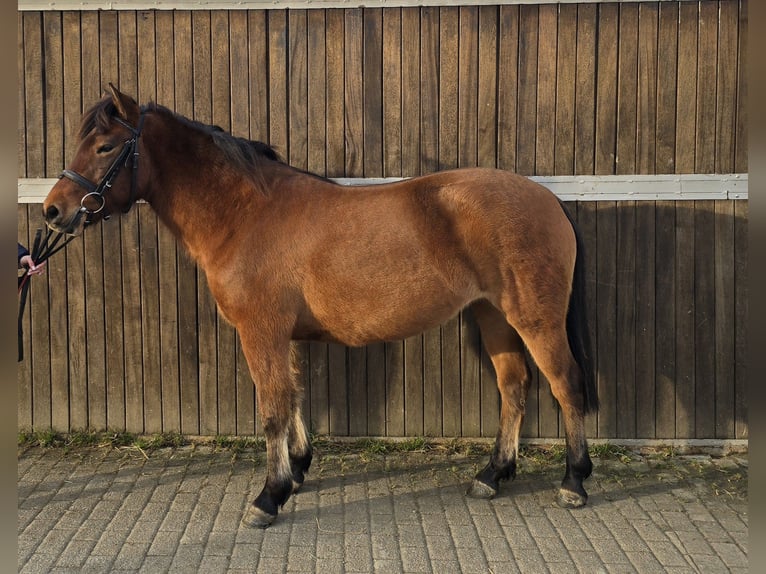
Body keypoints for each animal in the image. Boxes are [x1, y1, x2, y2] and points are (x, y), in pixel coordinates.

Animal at [45, 83, 604, 528]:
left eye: (105, 145)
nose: (53, 211)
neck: (245, 214)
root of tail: (547, 200)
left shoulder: (261, 332)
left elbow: (272, 408)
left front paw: (269, 497)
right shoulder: (284, 335)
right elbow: (293, 396)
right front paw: (297, 469)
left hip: (534, 319)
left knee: (565, 385)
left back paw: (574, 482)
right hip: (494, 316)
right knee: (515, 387)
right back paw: (493, 473)